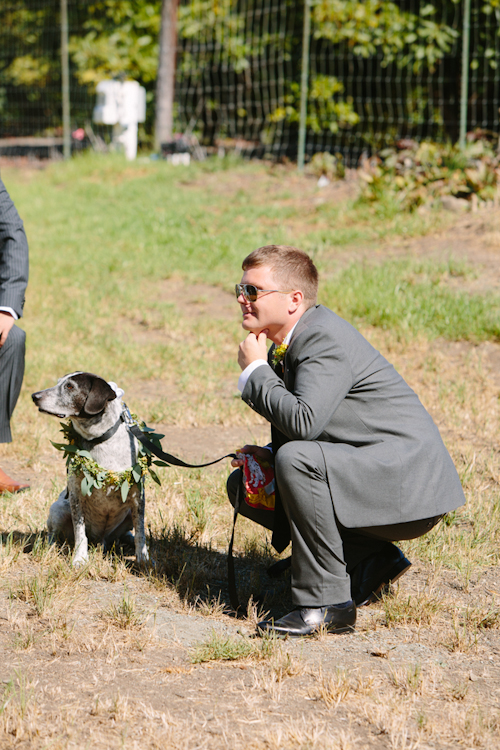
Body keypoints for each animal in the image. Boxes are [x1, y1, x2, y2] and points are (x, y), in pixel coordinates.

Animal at [31, 374, 147, 572]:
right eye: (58, 382)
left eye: (70, 386)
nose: (34, 396)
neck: (98, 441)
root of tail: (101, 540)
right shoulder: (76, 496)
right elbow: (80, 533)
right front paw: (80, 559)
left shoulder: (137, 497)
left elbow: (141, 533)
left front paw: (144, 560)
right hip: (59, 509)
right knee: (53, 535)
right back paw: (49, 548)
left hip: (128, 515)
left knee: (127, 534)